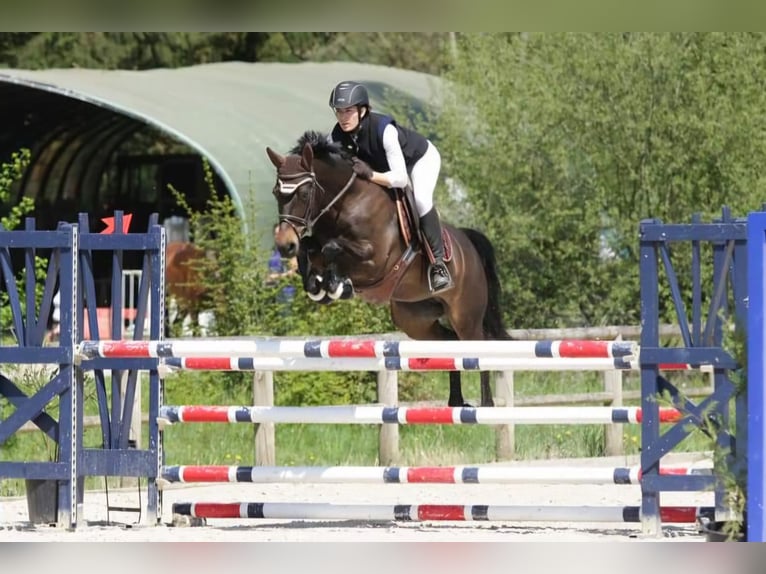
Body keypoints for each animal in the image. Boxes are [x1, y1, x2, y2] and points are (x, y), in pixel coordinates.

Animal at [264, 132, 510, 410]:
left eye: (305, 194)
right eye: (276, 192)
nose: (284, 245)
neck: (347, 203)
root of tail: (468, 245)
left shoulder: (375, 261)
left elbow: (332, 248)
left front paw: (336, 285)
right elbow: (310, 248)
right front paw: (317, 285)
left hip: (465, 317)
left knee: (477, 349)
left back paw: (486, 405)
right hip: (415, 320)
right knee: (450, 345)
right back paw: (455, 402)